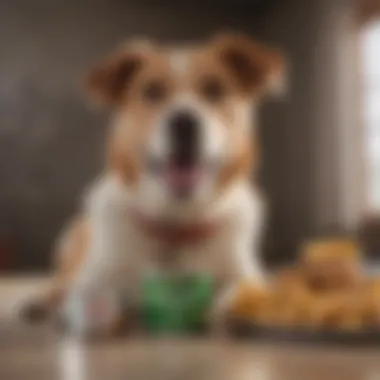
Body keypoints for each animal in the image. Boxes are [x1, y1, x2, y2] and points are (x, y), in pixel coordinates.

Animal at [24, 32, 284, 334]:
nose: (184, 123)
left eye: (214, 89)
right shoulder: (91, 283)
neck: (175, 224)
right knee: (56, 285)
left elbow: (240, 295)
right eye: (152, 91)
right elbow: (95, 302)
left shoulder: (248, 276)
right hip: (69, 242)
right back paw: (39, 304)